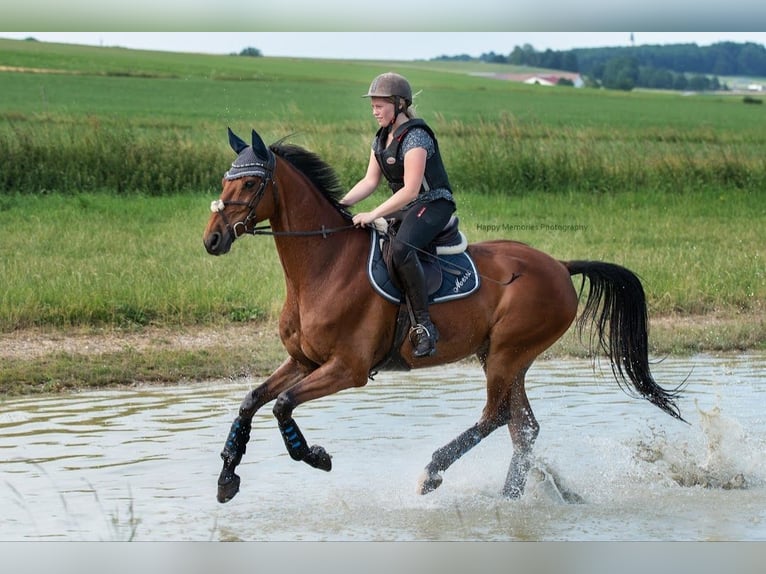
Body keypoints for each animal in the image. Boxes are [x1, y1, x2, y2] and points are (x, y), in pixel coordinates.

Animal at [202, 127, 684, 504]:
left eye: (250, 184)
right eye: (227, 179)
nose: (212, 239)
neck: (324, 266)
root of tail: (560, 267)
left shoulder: (347, 368)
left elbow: (283, 405)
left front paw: (314, 456)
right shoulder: (304, 361)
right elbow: (251, 400)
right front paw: (227, 476)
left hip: (508, 353)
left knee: (496, 417)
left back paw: (434, 472)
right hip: (504, 357)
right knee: (523, 428)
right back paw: (509, 498)